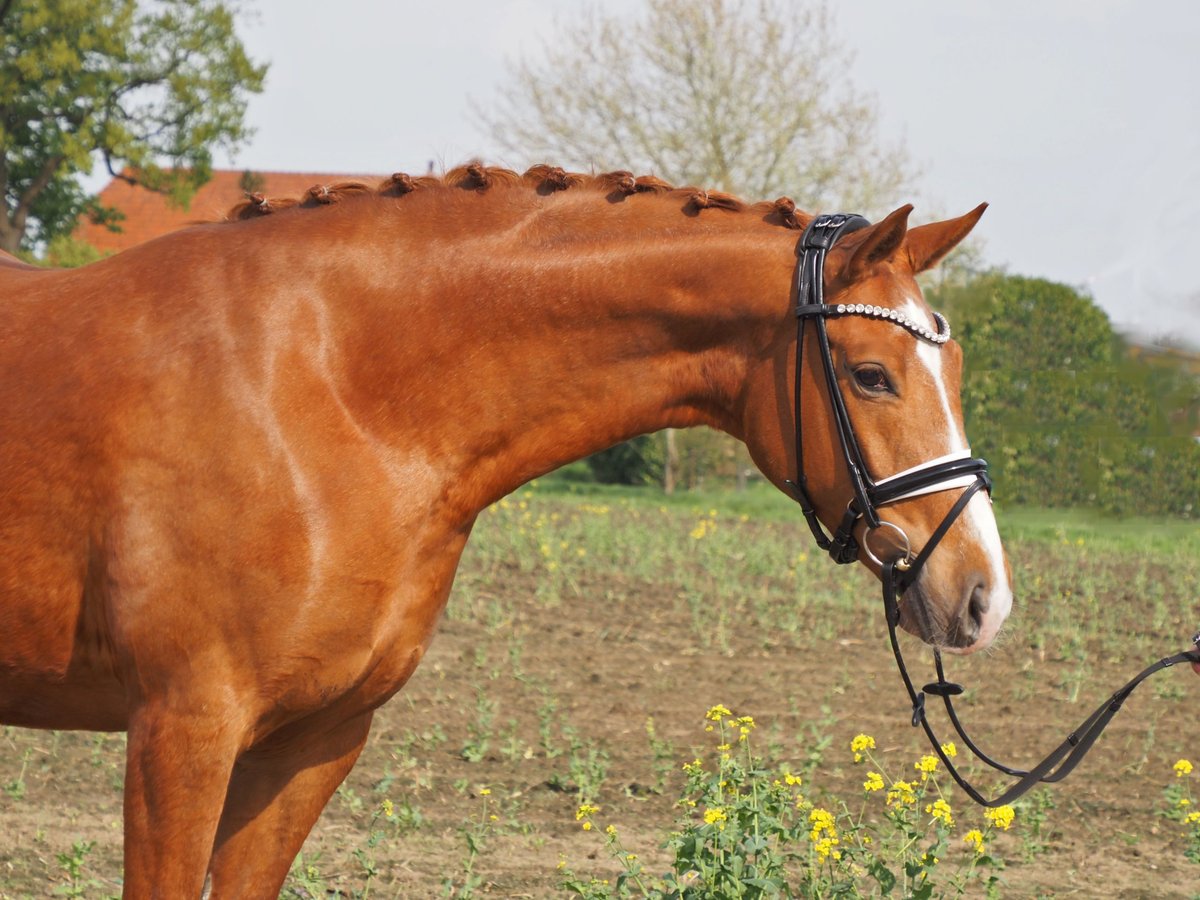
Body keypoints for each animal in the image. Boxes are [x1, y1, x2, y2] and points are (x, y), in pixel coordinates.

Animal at [0, 165, 1012, 897]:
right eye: (873, 375)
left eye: (961, 368)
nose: (983, 595)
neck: (323, 386)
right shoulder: (182, 732)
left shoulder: (313, 741)